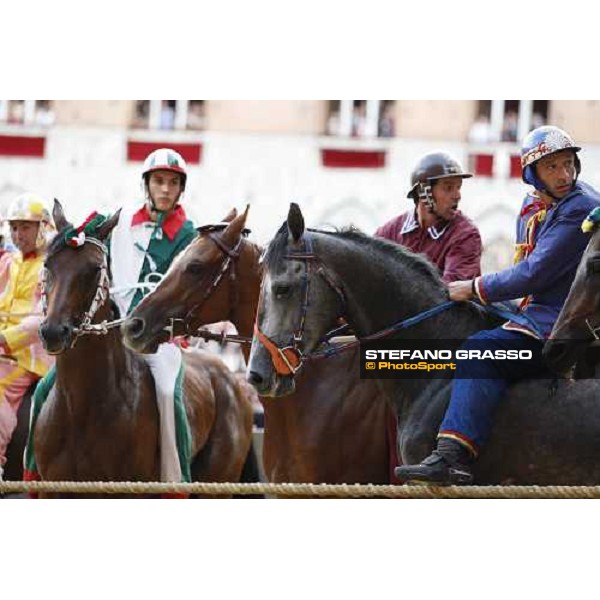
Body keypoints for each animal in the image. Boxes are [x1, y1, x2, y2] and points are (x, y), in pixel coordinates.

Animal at [30, 202, 253, 496]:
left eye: (94, 269)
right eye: (48, 265)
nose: (54, 332)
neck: (82, 408)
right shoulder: (53, 488)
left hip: (217, 481)